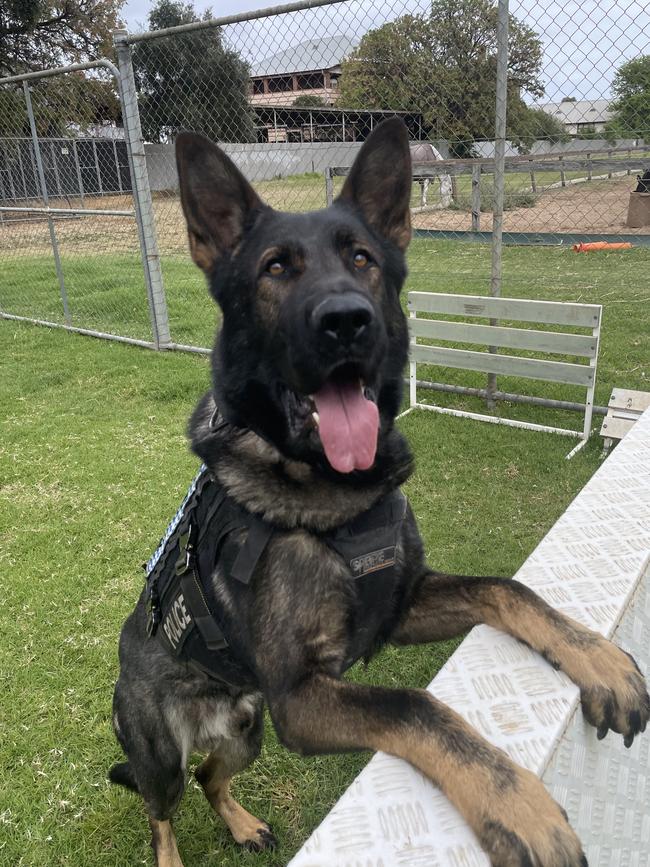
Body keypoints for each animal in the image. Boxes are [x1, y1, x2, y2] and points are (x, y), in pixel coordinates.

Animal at [109, 118, 644, 864]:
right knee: (162, 809)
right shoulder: (301, 697)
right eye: (275, 268)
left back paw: (242, 822)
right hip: (163, 754)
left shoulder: (397, 607)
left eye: (362, 259)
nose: (346, 320)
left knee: (215, 776)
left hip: (248, 730)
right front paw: (519, 805)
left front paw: (599, 660)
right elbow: (415, 706)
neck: (340, 492)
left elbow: (509, 589)